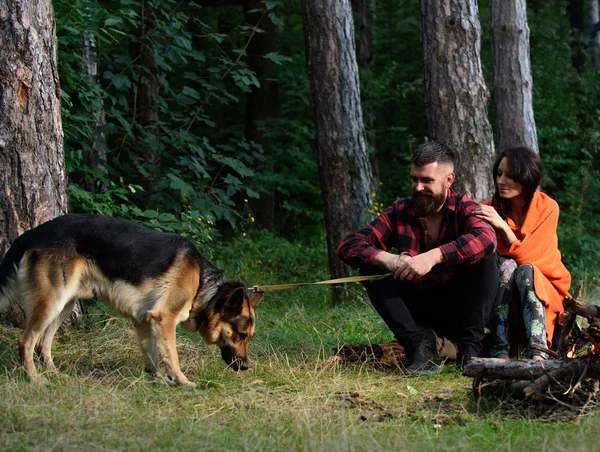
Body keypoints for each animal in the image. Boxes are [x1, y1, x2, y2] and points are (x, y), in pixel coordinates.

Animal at [0, 214, 262, 386]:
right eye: (240, 336)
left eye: (248, 338)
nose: (246, 367)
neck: (201, 282)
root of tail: (32, 233)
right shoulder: (164, 319)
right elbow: (172, 356)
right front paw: (182, 381)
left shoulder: (145, 321)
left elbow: (153, 356)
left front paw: (158, 380)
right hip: (52, 302)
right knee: (26, 342)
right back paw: (35, 379)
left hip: (65, 303)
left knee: (43, 344)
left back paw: (54, 375)